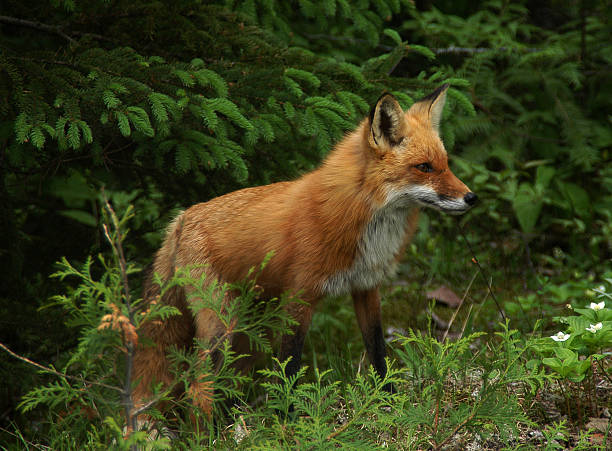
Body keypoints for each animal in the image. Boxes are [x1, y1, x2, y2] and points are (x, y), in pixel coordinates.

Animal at [133, 84, 478, 414]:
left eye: (446, 165)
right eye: (424, 167)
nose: (471, 198)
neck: (362, 215)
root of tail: (181, 219)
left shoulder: (366, 286)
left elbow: (377, 352)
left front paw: (389, 401)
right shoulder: (300, 296)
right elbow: (290, 367)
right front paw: (286, 420)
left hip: (249, 334)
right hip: (222, 322)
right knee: (198, 389)